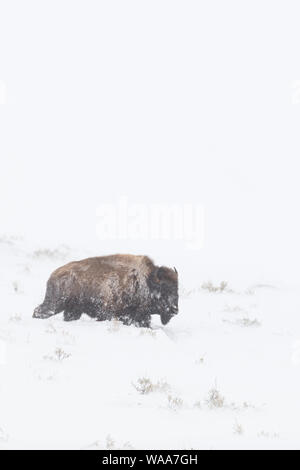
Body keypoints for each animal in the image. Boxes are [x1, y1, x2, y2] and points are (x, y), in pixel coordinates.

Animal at [32, 253, 178, 326]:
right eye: (164, 288)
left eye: (177, 289)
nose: (175, 310)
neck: (147, 281)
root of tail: (54, 274)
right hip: (55, 304)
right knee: (39, 311)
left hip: (73, 310)